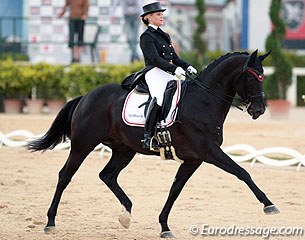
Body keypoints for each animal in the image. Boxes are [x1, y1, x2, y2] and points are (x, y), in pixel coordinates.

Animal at [27, 50, 278, 238]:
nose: (259, 110)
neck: (203, 102)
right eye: (252, 77)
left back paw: (126, 213)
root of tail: (86, 96)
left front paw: (164, 226)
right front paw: (268, 205)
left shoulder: (194, 159)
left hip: (124, 150)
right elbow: (242, 172)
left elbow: (175, 189)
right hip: (83, 145)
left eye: (263, 76)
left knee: (107, 175)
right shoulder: (209, 152)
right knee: (65, 176)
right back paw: (50, 223)